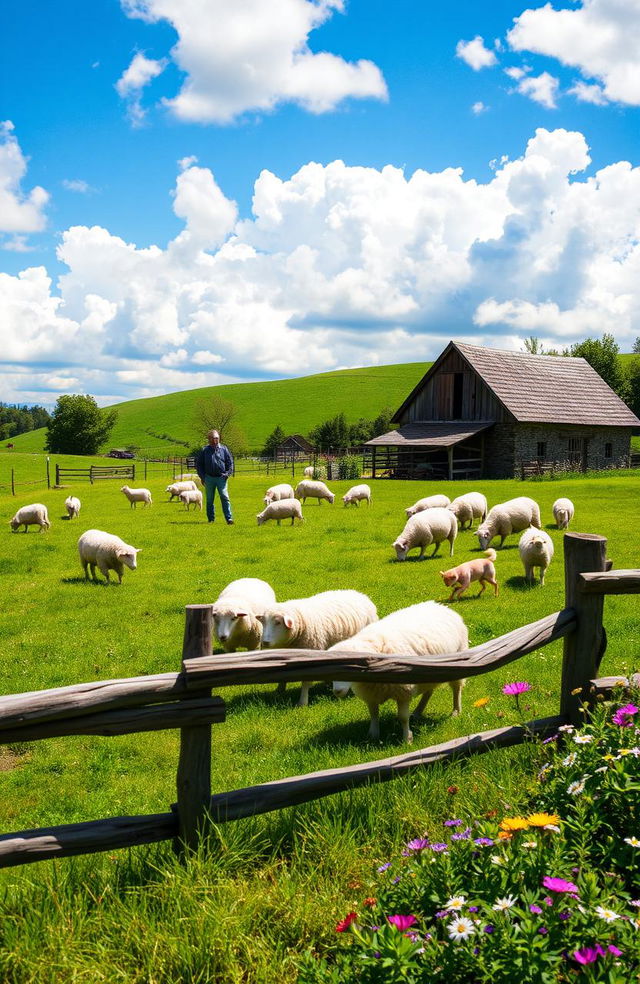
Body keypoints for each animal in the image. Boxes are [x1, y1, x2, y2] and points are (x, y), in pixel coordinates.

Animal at [332, 600, 468, 744]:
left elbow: (403, 717)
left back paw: (456, 711)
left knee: (456, 688)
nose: (337, 692)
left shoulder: (403, 691)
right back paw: (418, 712)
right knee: (428, 691)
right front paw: (373, 735)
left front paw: (406, 739)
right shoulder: (371, 693)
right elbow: (373, 714)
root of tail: (442, 606)